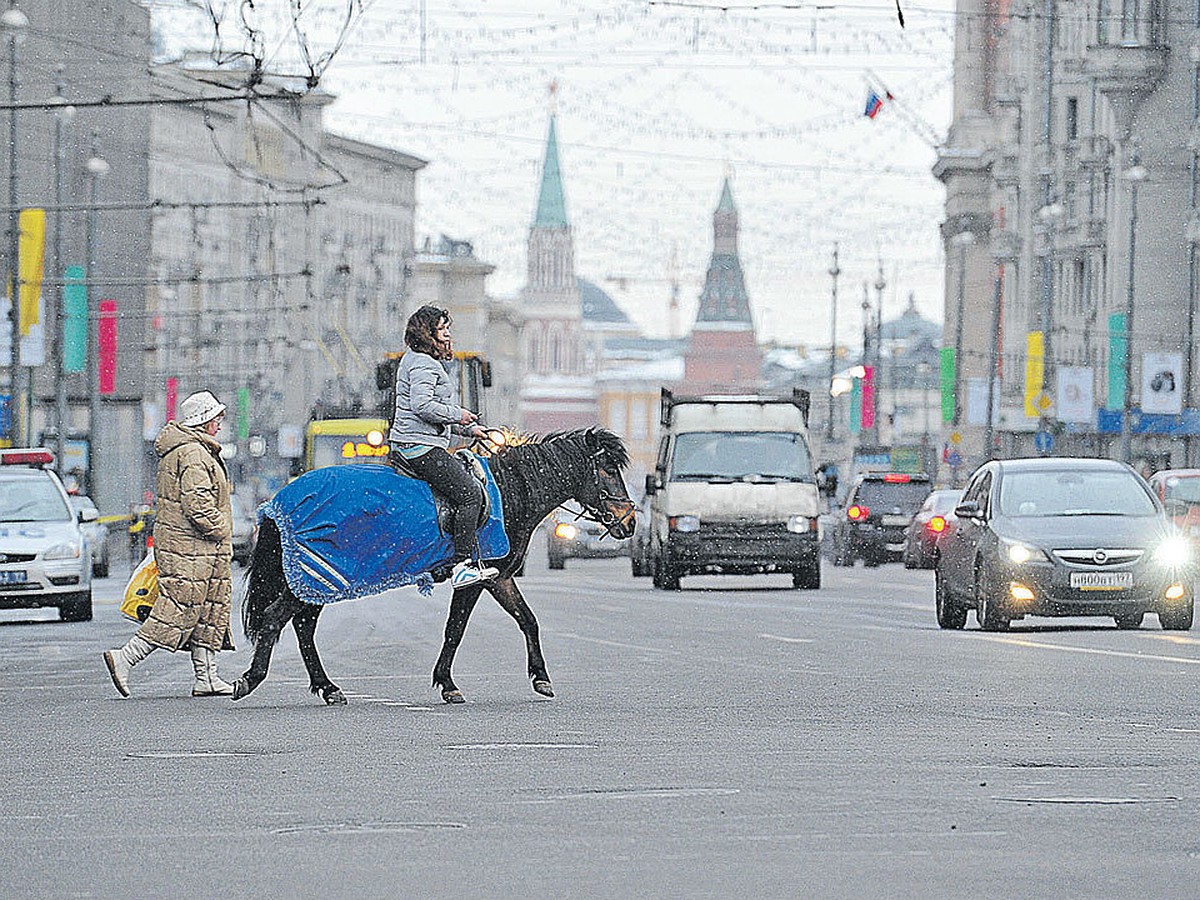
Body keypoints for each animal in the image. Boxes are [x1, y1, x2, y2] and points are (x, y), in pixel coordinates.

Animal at [232, 434, 638, 710]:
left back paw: (328, 687)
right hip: (318, 575)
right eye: (607, 470)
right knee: (275, 618)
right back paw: (250, 679)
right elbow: (455, 629)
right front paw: (447, 683)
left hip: (318, 580)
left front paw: (541, 677)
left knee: (303, 627)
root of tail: (278, 501)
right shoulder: (474, 579)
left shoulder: (499, 578)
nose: (630, 522)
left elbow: (528, 620)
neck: (507, 493)